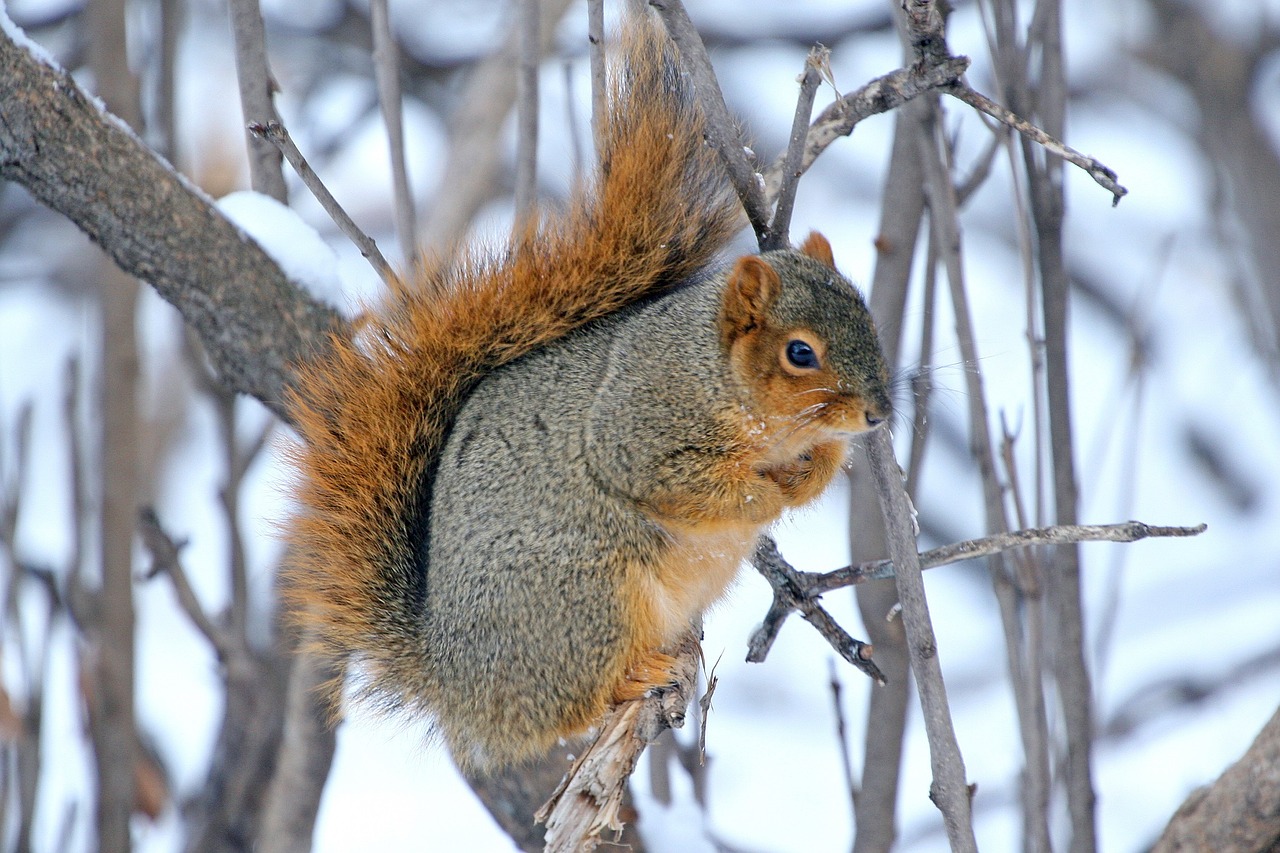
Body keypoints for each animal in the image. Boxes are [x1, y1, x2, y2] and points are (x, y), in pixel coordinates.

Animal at [289, 11, 890, 768]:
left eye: (867, 313)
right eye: (800, 353)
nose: (879, 413)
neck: (725, 382)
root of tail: (453, 681)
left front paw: (811, 475)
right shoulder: (640, 424)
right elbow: (681, 482)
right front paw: (767, 496)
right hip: (589, 596)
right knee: (568, 706)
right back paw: (634, 676)